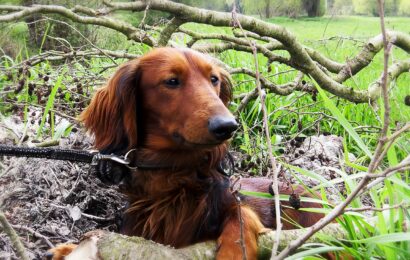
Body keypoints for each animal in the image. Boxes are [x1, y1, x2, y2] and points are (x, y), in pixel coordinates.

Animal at [49, 47, 324, 258]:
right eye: (172, 81)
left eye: (213, 79)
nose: (228, 126)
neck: (173, 173)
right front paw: (67, 249)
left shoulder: (235, 202)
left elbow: (241, 217)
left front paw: (234, 252)